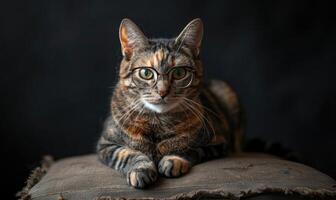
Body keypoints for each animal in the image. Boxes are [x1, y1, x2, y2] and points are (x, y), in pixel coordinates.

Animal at [97, 18, 244, 188]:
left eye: (179, 73)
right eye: (146, 73)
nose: (163, 92)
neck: (158, 122)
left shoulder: (218, 143)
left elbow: (191, 150)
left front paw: (173, 160)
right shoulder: (105, 144)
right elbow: (127, 154)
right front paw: (141, 169)